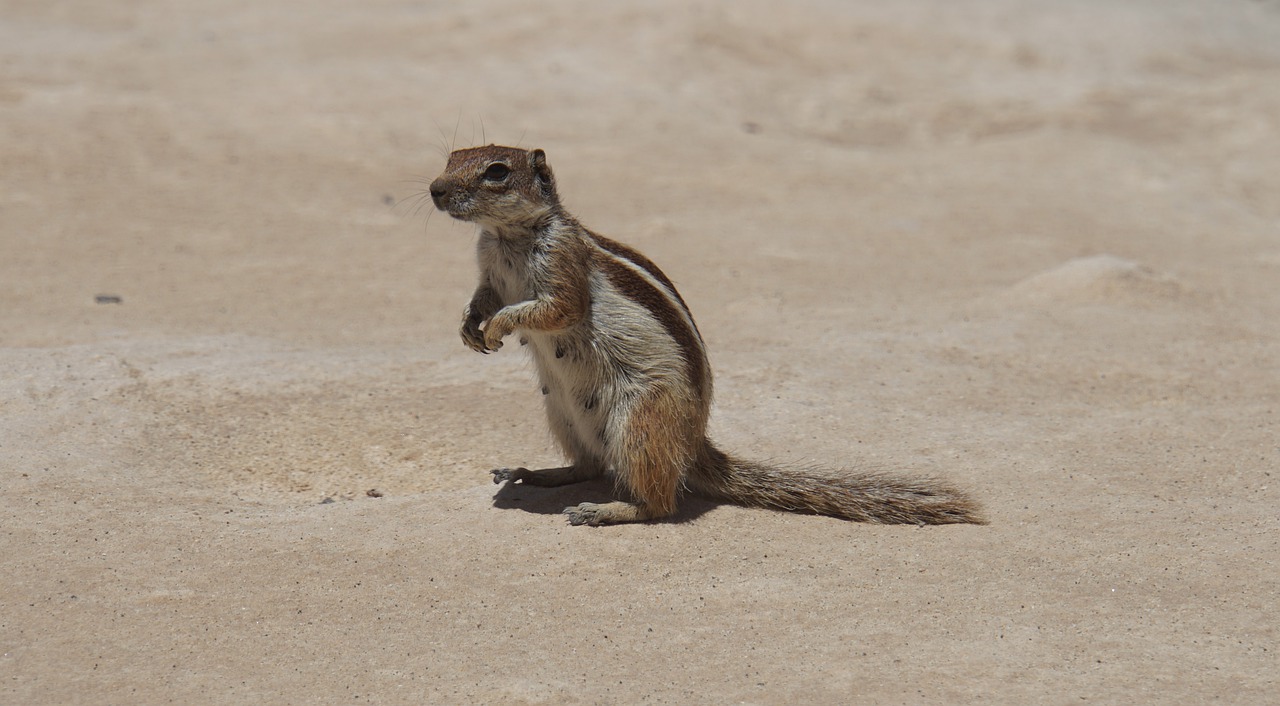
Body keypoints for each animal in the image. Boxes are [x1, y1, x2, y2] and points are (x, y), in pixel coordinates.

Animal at [430, 146, 977, 526]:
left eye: (497, 171)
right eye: (451, 157)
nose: (435, 189)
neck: (508, 237)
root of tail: (693, 443)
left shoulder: (564, 267)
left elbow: (552, 308)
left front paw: (500, 326)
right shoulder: (488, 271)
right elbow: (482, 296)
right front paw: (468, 326)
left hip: (640, 422)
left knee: (659, 502)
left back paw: (606, 511)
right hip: (560, 413)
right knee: (589, 465)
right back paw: (538, 474)